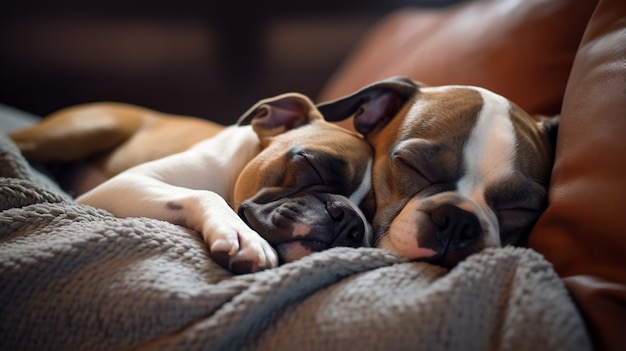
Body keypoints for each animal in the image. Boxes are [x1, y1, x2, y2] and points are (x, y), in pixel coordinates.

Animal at [9, 95, 372, 276]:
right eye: (312, 165)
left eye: (373, 212)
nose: (348, 218)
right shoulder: (126, 182)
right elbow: (205, 194)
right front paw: (242, 236)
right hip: (86, 129)